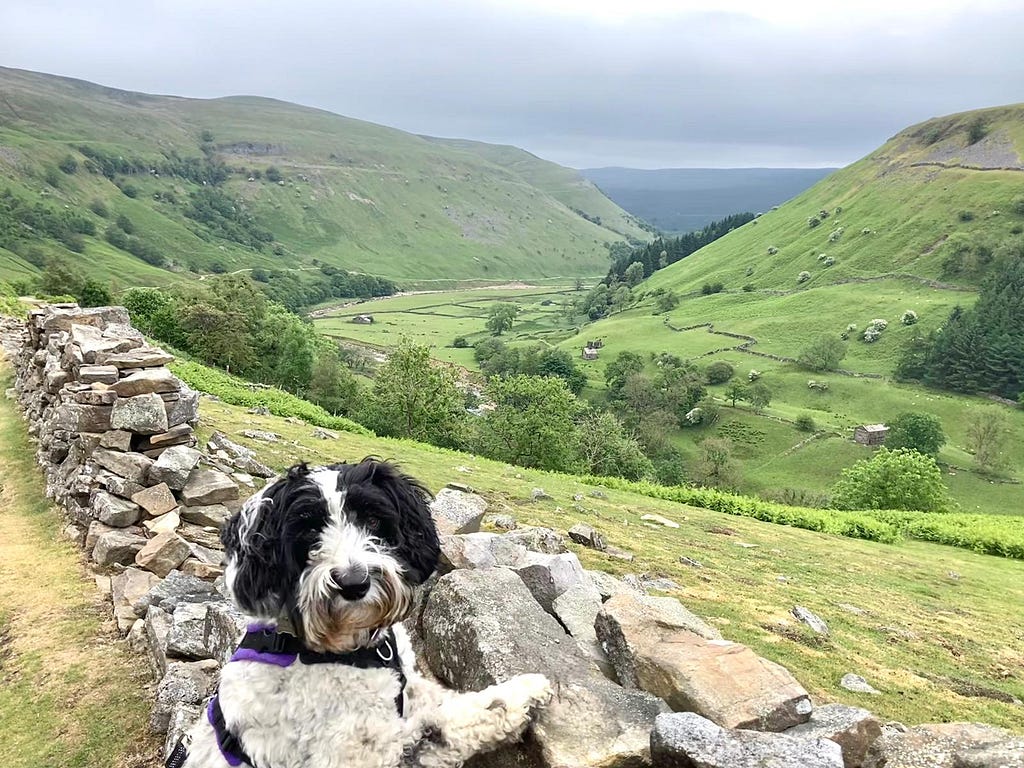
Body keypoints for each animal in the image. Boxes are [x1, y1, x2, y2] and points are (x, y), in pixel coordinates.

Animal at [180, 462, 557, 768]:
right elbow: (437, 728)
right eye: (308, 530)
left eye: (373, 519)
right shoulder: (358, 752)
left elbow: (456, 710)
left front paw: (522, 693)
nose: (353, 582)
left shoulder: (409, 691)